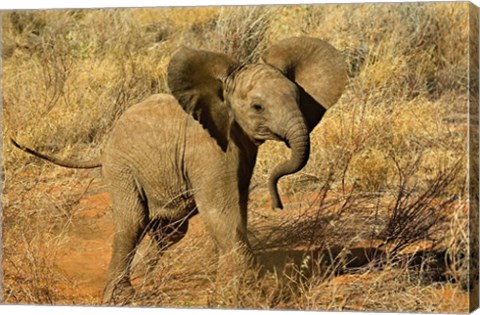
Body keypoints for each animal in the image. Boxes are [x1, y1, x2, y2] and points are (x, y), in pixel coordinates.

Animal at [11, 36, 346, 304]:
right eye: (257, 107)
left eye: (299, 98)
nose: (278, 204)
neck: (221, 91)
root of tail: (103, 149)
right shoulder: (209, 148)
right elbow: (220, 212)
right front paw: (246, 295)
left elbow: (237, 208)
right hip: (122, 169)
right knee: (132, 222)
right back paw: (122, 297)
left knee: (169, 232)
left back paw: (148, 279)